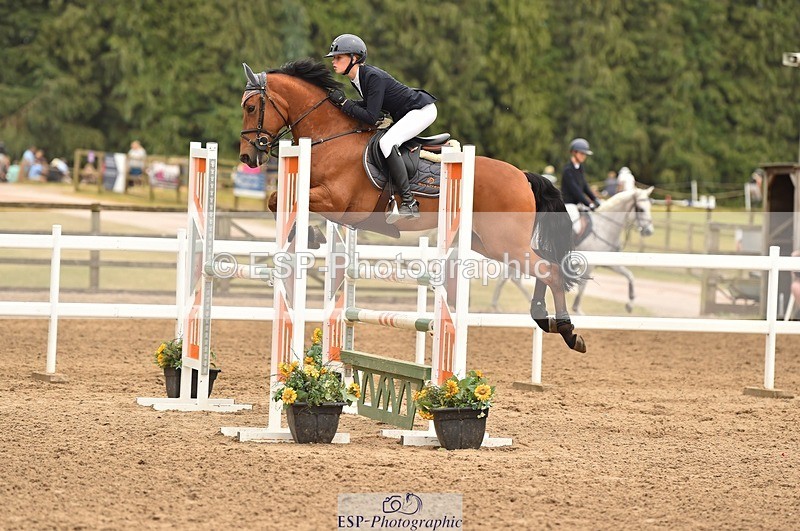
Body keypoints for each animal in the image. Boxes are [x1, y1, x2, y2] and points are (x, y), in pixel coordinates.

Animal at [238, 59, 586, 352]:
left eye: (252, 106)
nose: (248, 156)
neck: (332, 136)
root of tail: (523, 176)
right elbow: (277, 201)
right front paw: (309, 236)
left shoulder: (337, 200)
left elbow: (285, 202)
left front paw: (310, 236)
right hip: (488, 243)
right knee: (544, 267)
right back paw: (544, 317)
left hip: (504, 241)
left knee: (550, 270)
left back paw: (568, 331)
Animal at [490, 187, 655, 313]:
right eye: (641, 209)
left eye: (650, 208)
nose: (649, 231)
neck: (604, 226)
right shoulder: (590, 265)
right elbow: (582, 288)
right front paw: (577, 309)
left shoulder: (609, 263)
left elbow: (630, 276)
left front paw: (630, 304)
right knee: (509, 277)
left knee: (509, 277)